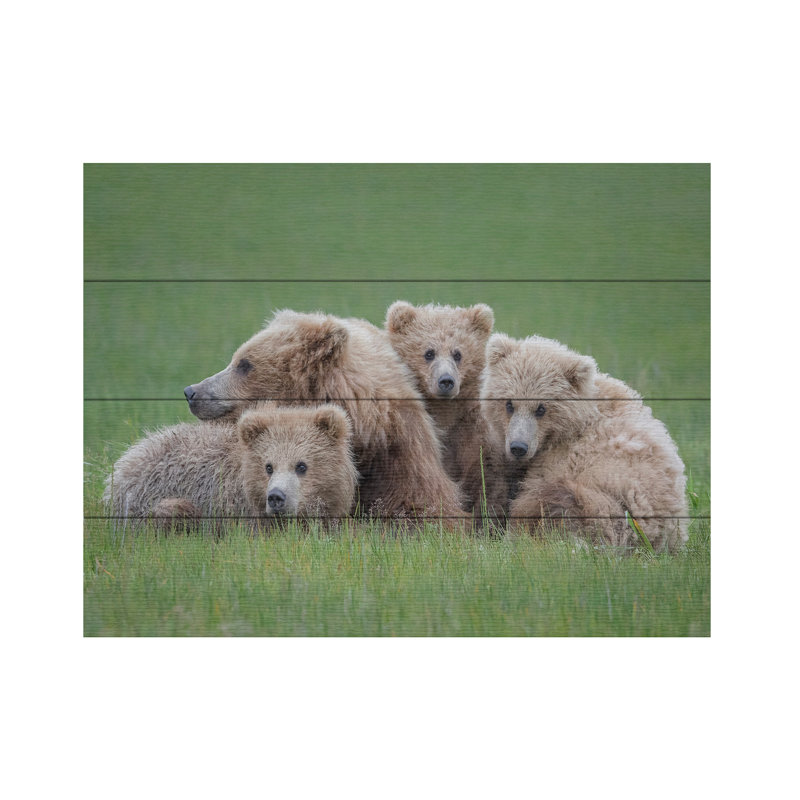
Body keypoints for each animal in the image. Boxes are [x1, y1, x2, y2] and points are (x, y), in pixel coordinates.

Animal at [385, 301, 507, 519]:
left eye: (458, 354)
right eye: (429, 353)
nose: (446, 381)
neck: (444, 413)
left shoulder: (469, 429)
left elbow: (484, 474)